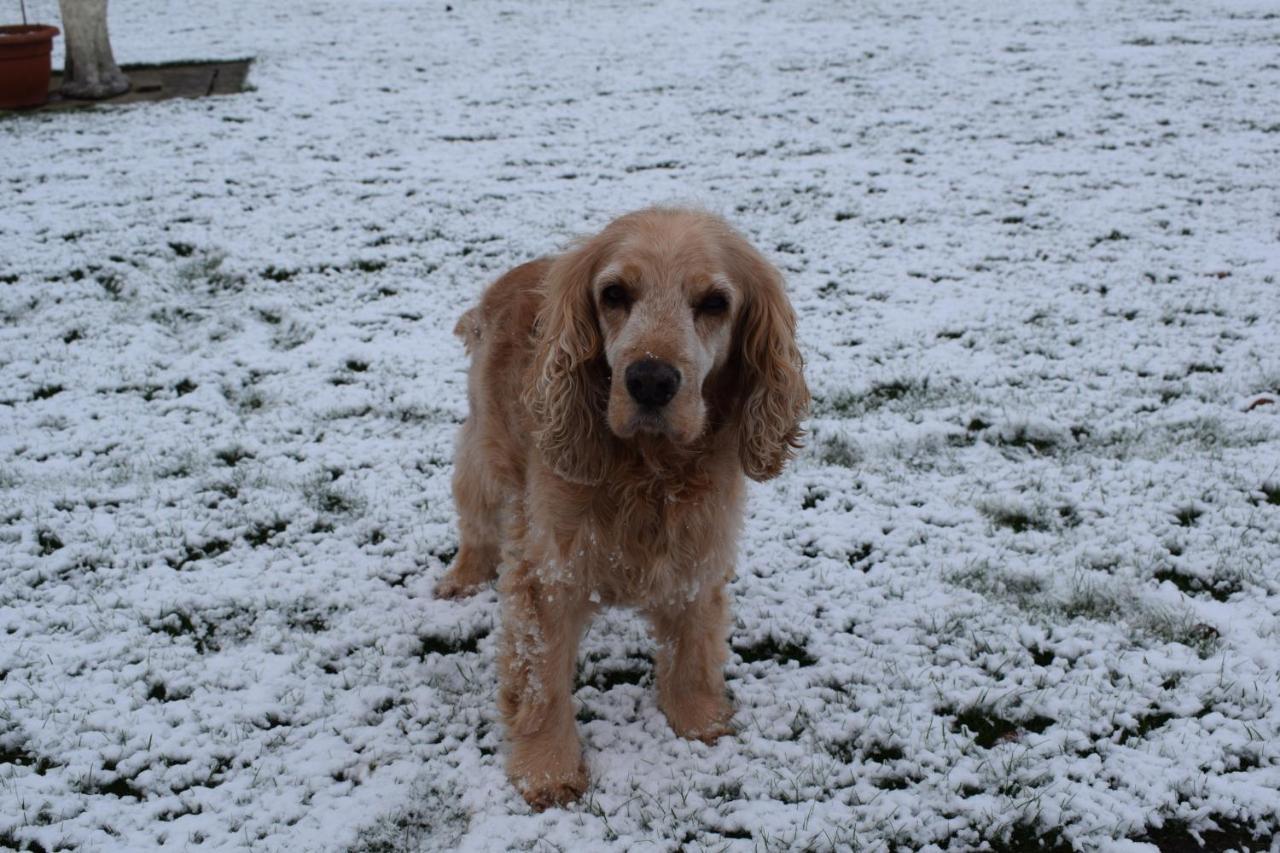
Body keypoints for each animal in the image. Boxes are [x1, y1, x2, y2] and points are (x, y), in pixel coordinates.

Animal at [435, 204, 803, 804]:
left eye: (715, 303)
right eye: (614, 294)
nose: (650, 380)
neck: (649, 470)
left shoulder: (699, 550)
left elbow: (694, 647)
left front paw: (699, 721)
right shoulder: (548, 572)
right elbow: (542, 681)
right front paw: (548, 771)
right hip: (485, 448)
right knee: (476, 513)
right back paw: (463, 576)